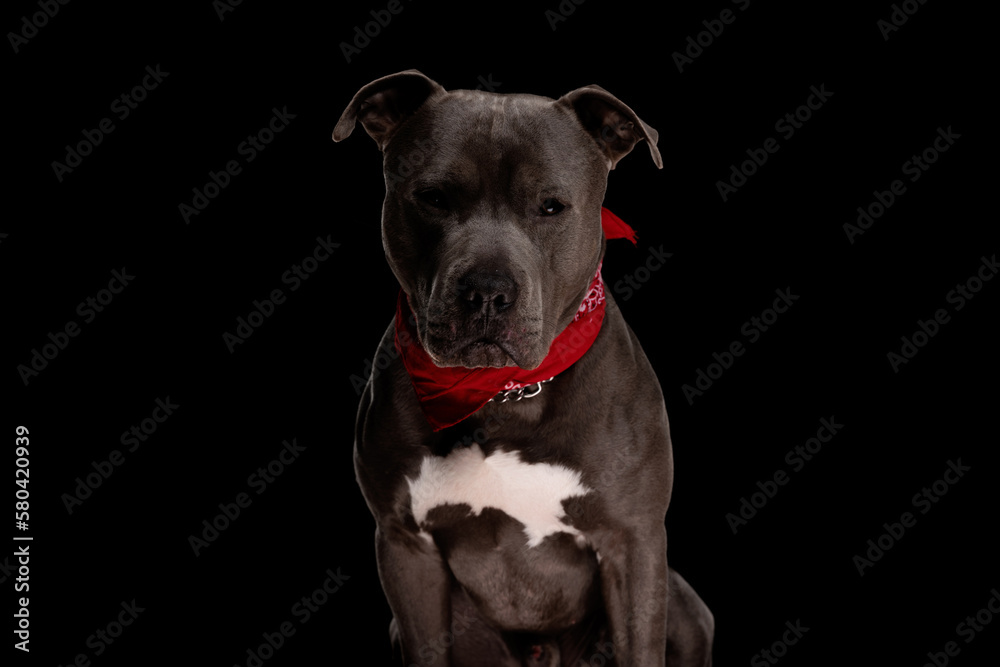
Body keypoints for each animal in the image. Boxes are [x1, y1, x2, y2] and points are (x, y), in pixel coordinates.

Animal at [340, 70, 716, 664]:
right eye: (433, 197)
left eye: (551, 206)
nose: (487, 292)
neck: (502, 393)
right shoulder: (405, 546)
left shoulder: (633, 543)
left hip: (684, 605)